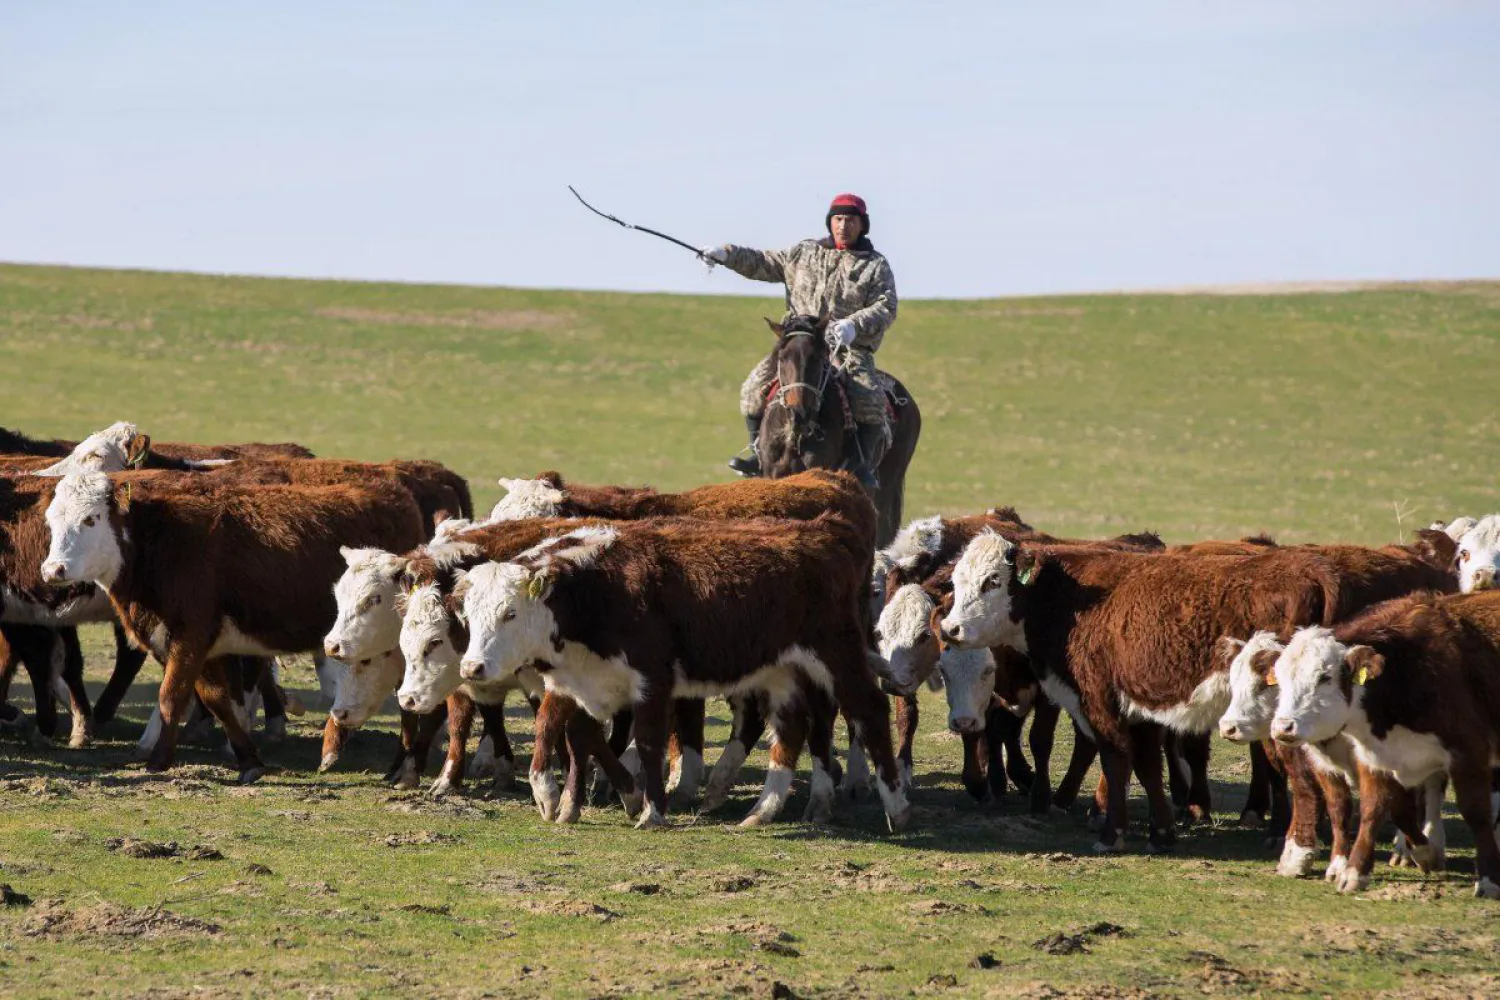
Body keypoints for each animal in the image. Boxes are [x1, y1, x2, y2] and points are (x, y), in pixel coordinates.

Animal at [41, 470, 426, 779]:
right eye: (51, 521)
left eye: (91, 519)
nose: (53, 570)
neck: (161, 542)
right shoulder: (204, 646)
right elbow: (216, 699)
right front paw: (249, 760)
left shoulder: (190, 635)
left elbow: (172, 696)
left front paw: (158, 761)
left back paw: (402, 767)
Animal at [450, 512, 906, 833]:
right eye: (468, 614)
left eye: (510, 613)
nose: (472, 667)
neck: (598, 589)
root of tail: (825, 531)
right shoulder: (577, 682)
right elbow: (573, 736)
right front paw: (565, 804)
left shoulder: (653, 681)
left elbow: (649, 742)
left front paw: (650, 811)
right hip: (782, 670)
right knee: (792, 728)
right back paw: (763, 811)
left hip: (836, 655)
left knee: (870, 710)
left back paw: (896, 806)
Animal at [1266, 593, 1500, 899]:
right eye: (1280, 678)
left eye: (1324, 677)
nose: (1283, 727)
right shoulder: (1374, 757)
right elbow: (1375, 810)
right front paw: (1357, 872)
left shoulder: (1468, 753)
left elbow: (1476, 813)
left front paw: (1488, 880)